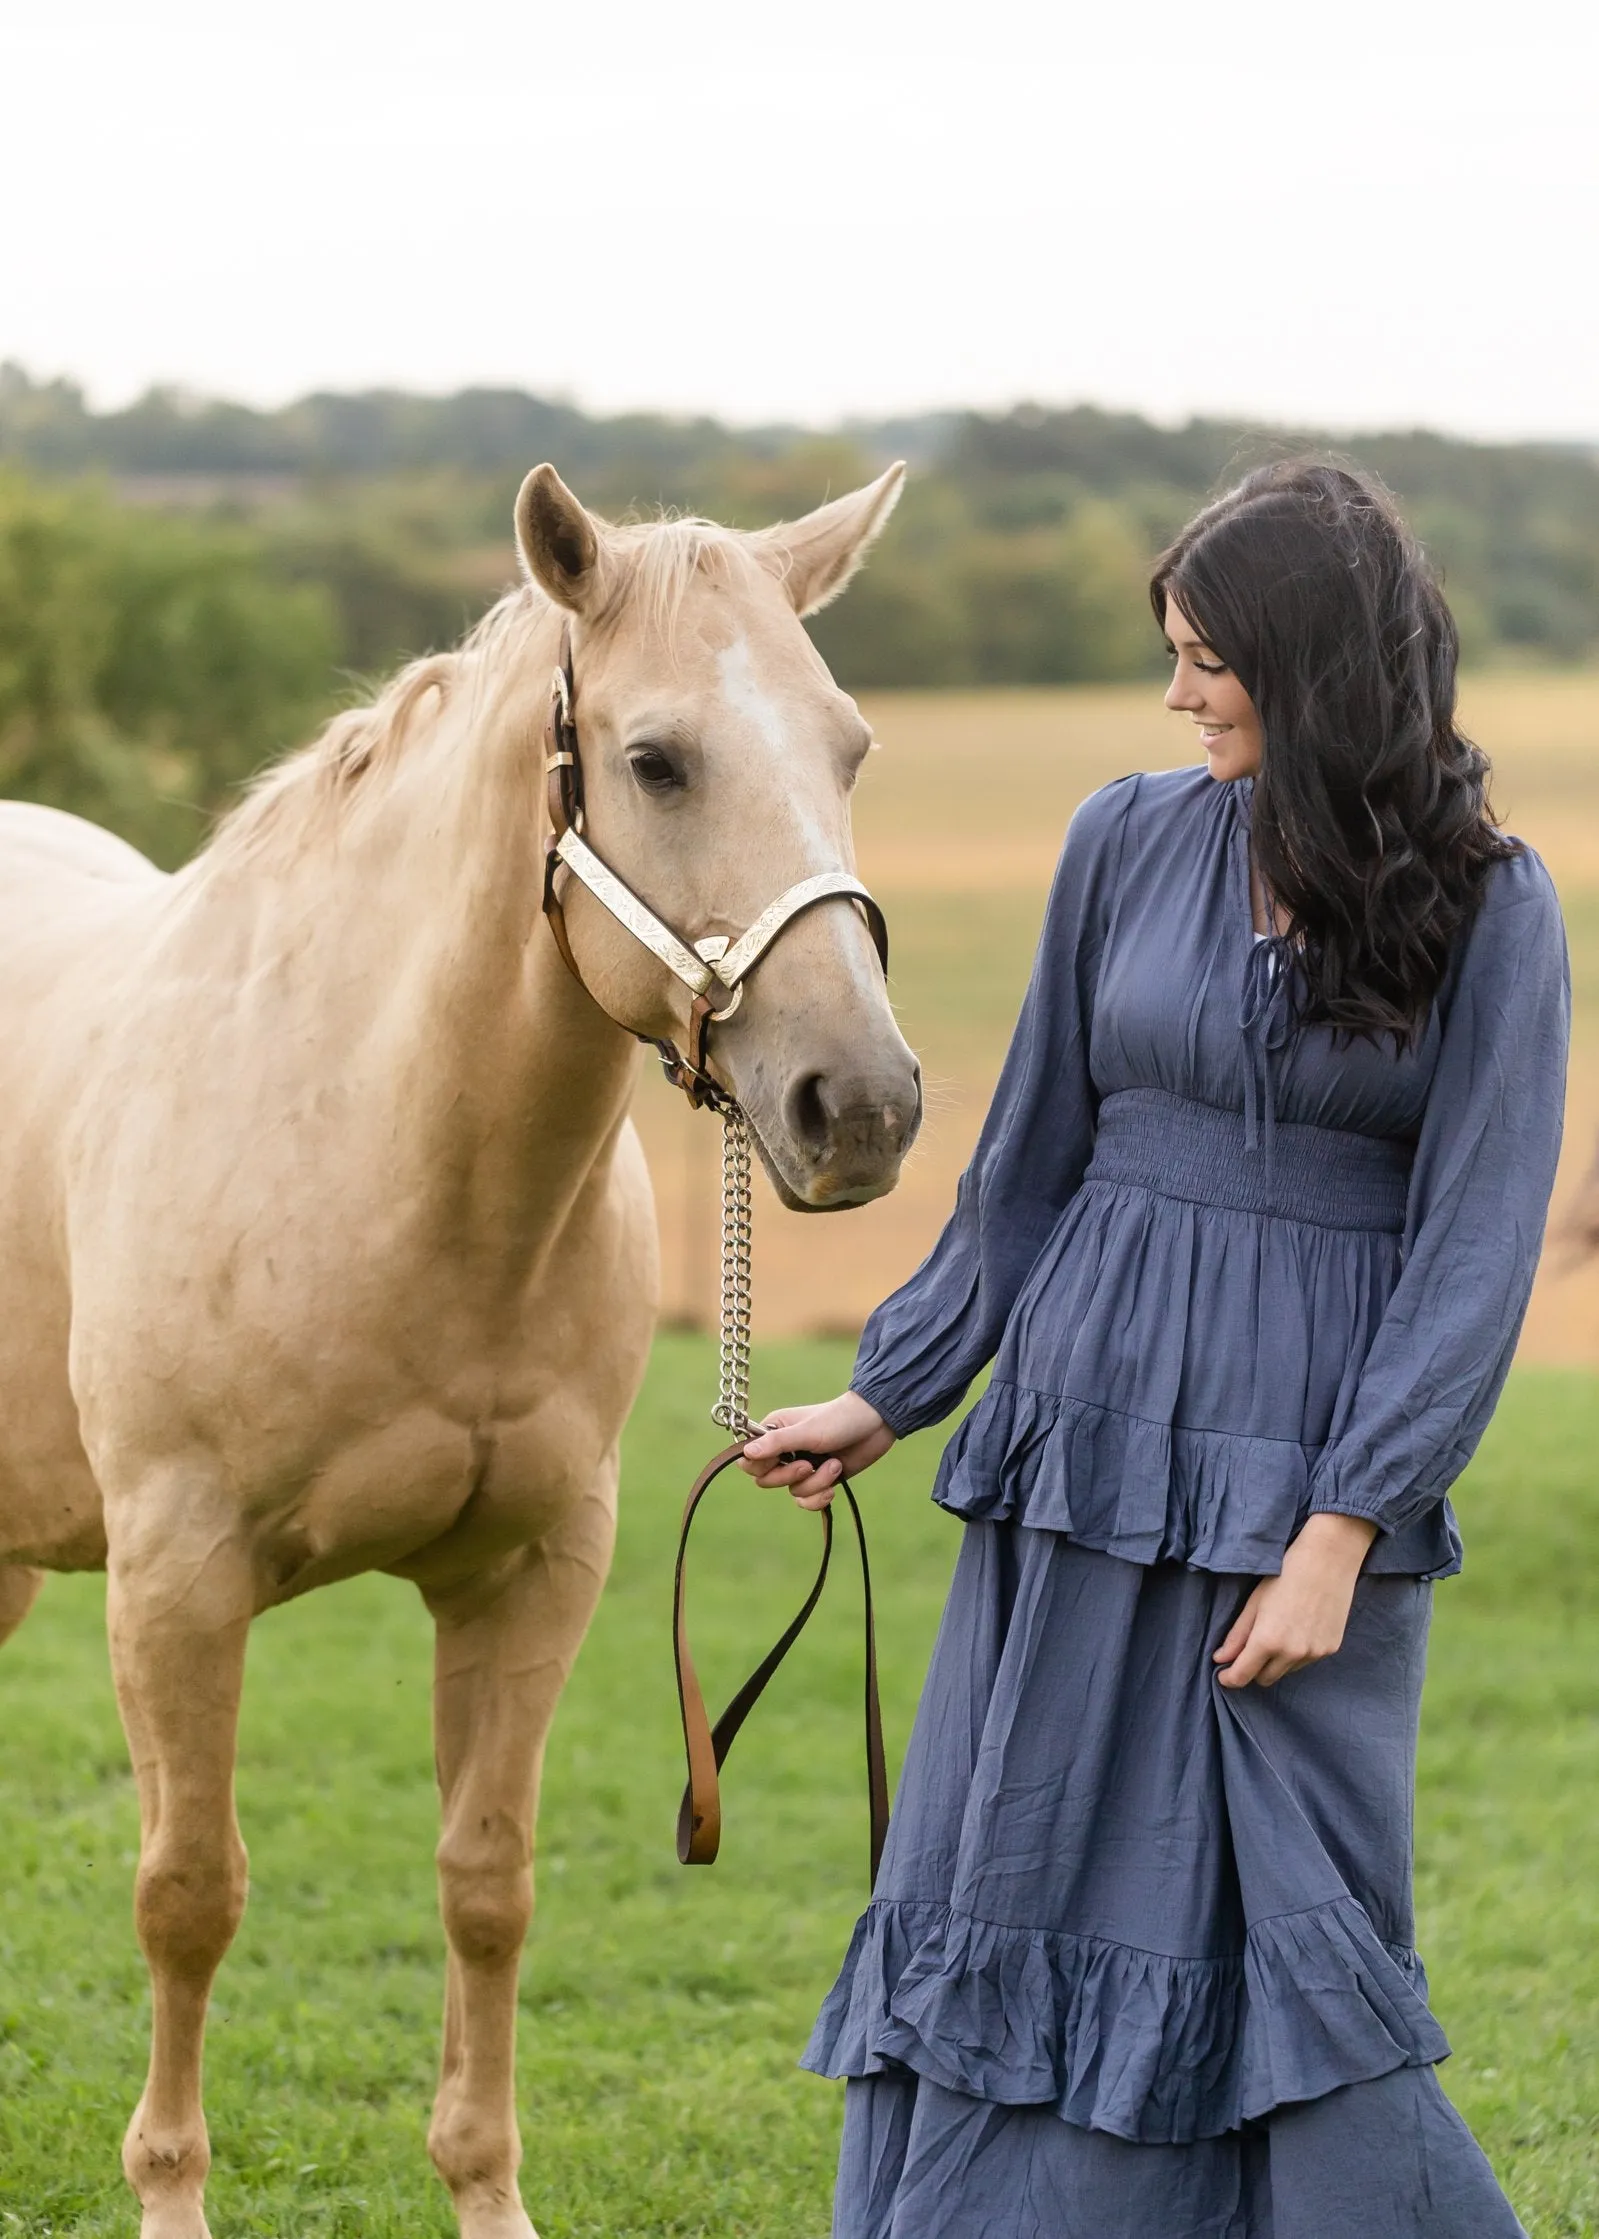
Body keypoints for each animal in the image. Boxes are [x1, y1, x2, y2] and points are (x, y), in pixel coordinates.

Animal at [0, 463, 913, 2230]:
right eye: (655, 759)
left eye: (848, 747)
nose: (860, 1103)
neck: (371, 1143)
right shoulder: (176, 1578)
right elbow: (186, 1889)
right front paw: (170, 2192)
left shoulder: (531, 1568)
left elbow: (486, 1882)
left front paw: (487, 2191)